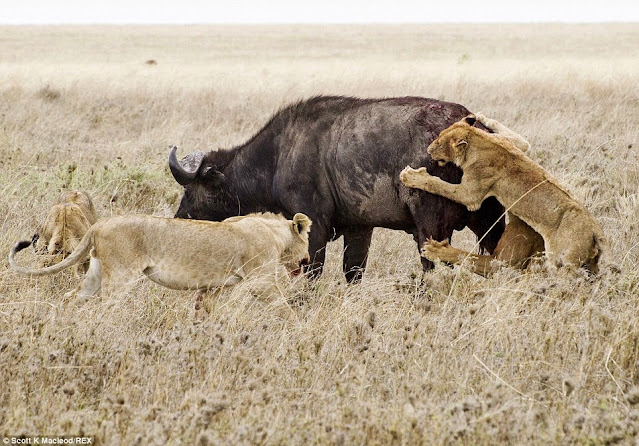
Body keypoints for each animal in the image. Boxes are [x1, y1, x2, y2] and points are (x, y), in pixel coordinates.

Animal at [10, 212, 312, 316]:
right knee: (104, 308)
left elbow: (205, 312)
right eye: (308, 241)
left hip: (94, 274)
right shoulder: (262, 281)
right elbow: (283, 308)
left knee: (70, 297)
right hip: (121, 275)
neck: (276, 234)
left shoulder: (211, 288)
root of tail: (99, 225)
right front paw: (296, 328)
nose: (308, 260)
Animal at [169, 96, 505, 282]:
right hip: (491, 224)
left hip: (431, 228)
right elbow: (353, 272)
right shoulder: (359, 229)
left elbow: (312, 272)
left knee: (434, 270)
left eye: (192, 191)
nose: (181, 219)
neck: (277, 155)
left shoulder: (314, 227)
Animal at [400, 115, 605, 274]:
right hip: (590, 264)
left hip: (563, 260)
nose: (428, 150)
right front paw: (481, 116)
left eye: (440, 144)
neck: (479, 141)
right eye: (438, 136)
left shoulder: (470, 195)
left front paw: (411, 176)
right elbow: (514, 135)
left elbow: (438, 184)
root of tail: (596, 230)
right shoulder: (518, 144)